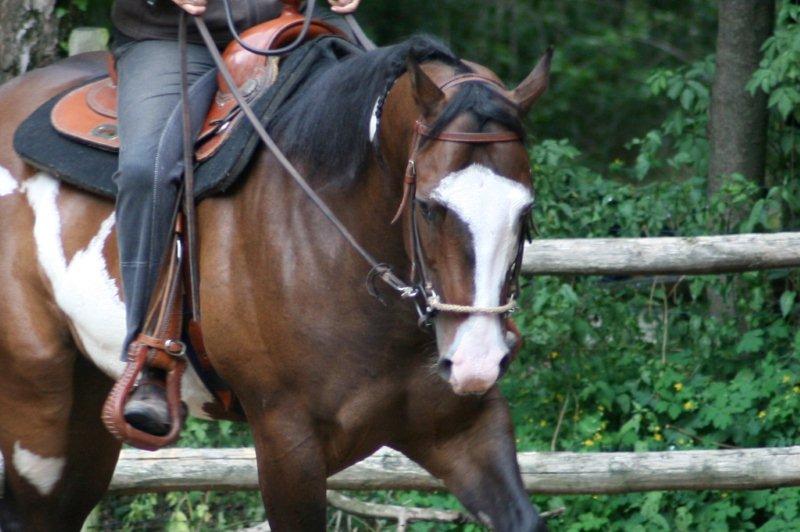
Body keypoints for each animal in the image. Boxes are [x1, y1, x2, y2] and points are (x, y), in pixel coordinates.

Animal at [0, 34, 551, 531]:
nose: (477, 362)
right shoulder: (288, 444)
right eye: (429, 207)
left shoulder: (461, 427)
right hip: (38, 421)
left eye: (525, 210)